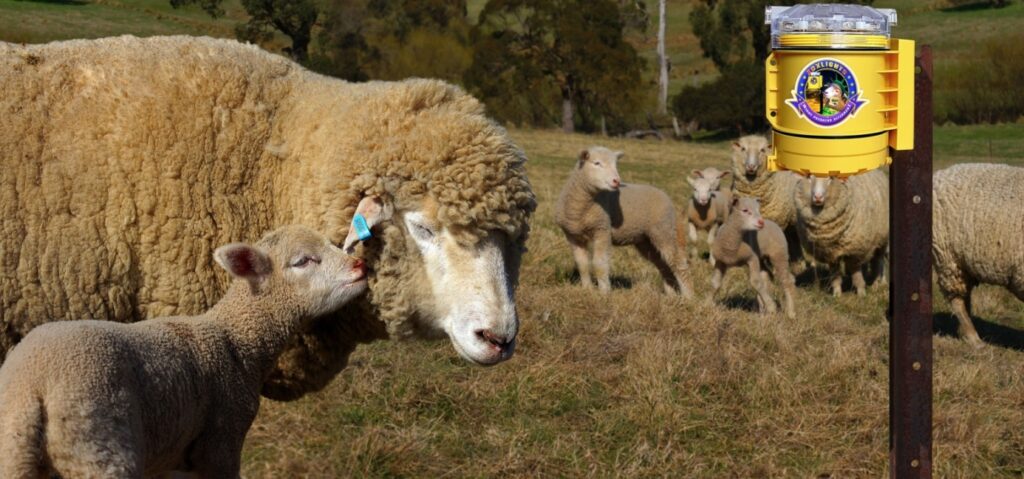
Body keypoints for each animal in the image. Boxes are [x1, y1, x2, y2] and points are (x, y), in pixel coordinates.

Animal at [0, 225, 368, 479]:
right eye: (302, 261)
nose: (360, 266)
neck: (235, 341)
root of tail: (30, 390)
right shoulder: (220, 441)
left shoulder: (173, 456)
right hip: (98, 445)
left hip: (18, 455)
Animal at [552, 147, 696, 294]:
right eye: (597, 163)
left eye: (616, 165)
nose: (617, 181)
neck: (582, 206)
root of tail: (667, 197)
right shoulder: (573, 235)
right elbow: (582, 264)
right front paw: (587, 290)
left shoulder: (602, 229)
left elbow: (600, 263)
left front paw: (604, 292)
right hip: (646, 240)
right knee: (664, 265)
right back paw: (670, 295)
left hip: (664, 230)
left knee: (678, 263)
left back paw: (688, 295)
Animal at [933, 163, 1024, 343]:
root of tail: (941, 174)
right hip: (947, 258)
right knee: (956, 299)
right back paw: (972, 338)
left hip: (963, 263)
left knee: (965, 295)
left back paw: (963, 332)